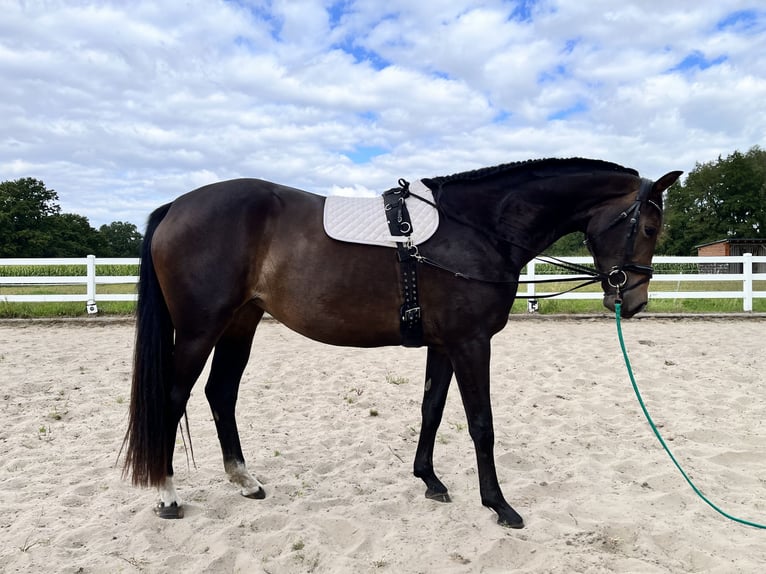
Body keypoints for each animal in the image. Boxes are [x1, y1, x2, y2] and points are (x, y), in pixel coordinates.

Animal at [122, 157, 682, 528]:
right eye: (649, 225)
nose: (634, 301)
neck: (477, 230)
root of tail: (177, 207)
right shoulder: (471, 342)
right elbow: (482, 424)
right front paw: (499, 505)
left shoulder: (444, 344)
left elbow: (432, 409)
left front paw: (430, 481)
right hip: (200, 330)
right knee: (173, 399)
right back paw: (168, 497)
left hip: (241, 323)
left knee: (221, 394)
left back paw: (246, 481)